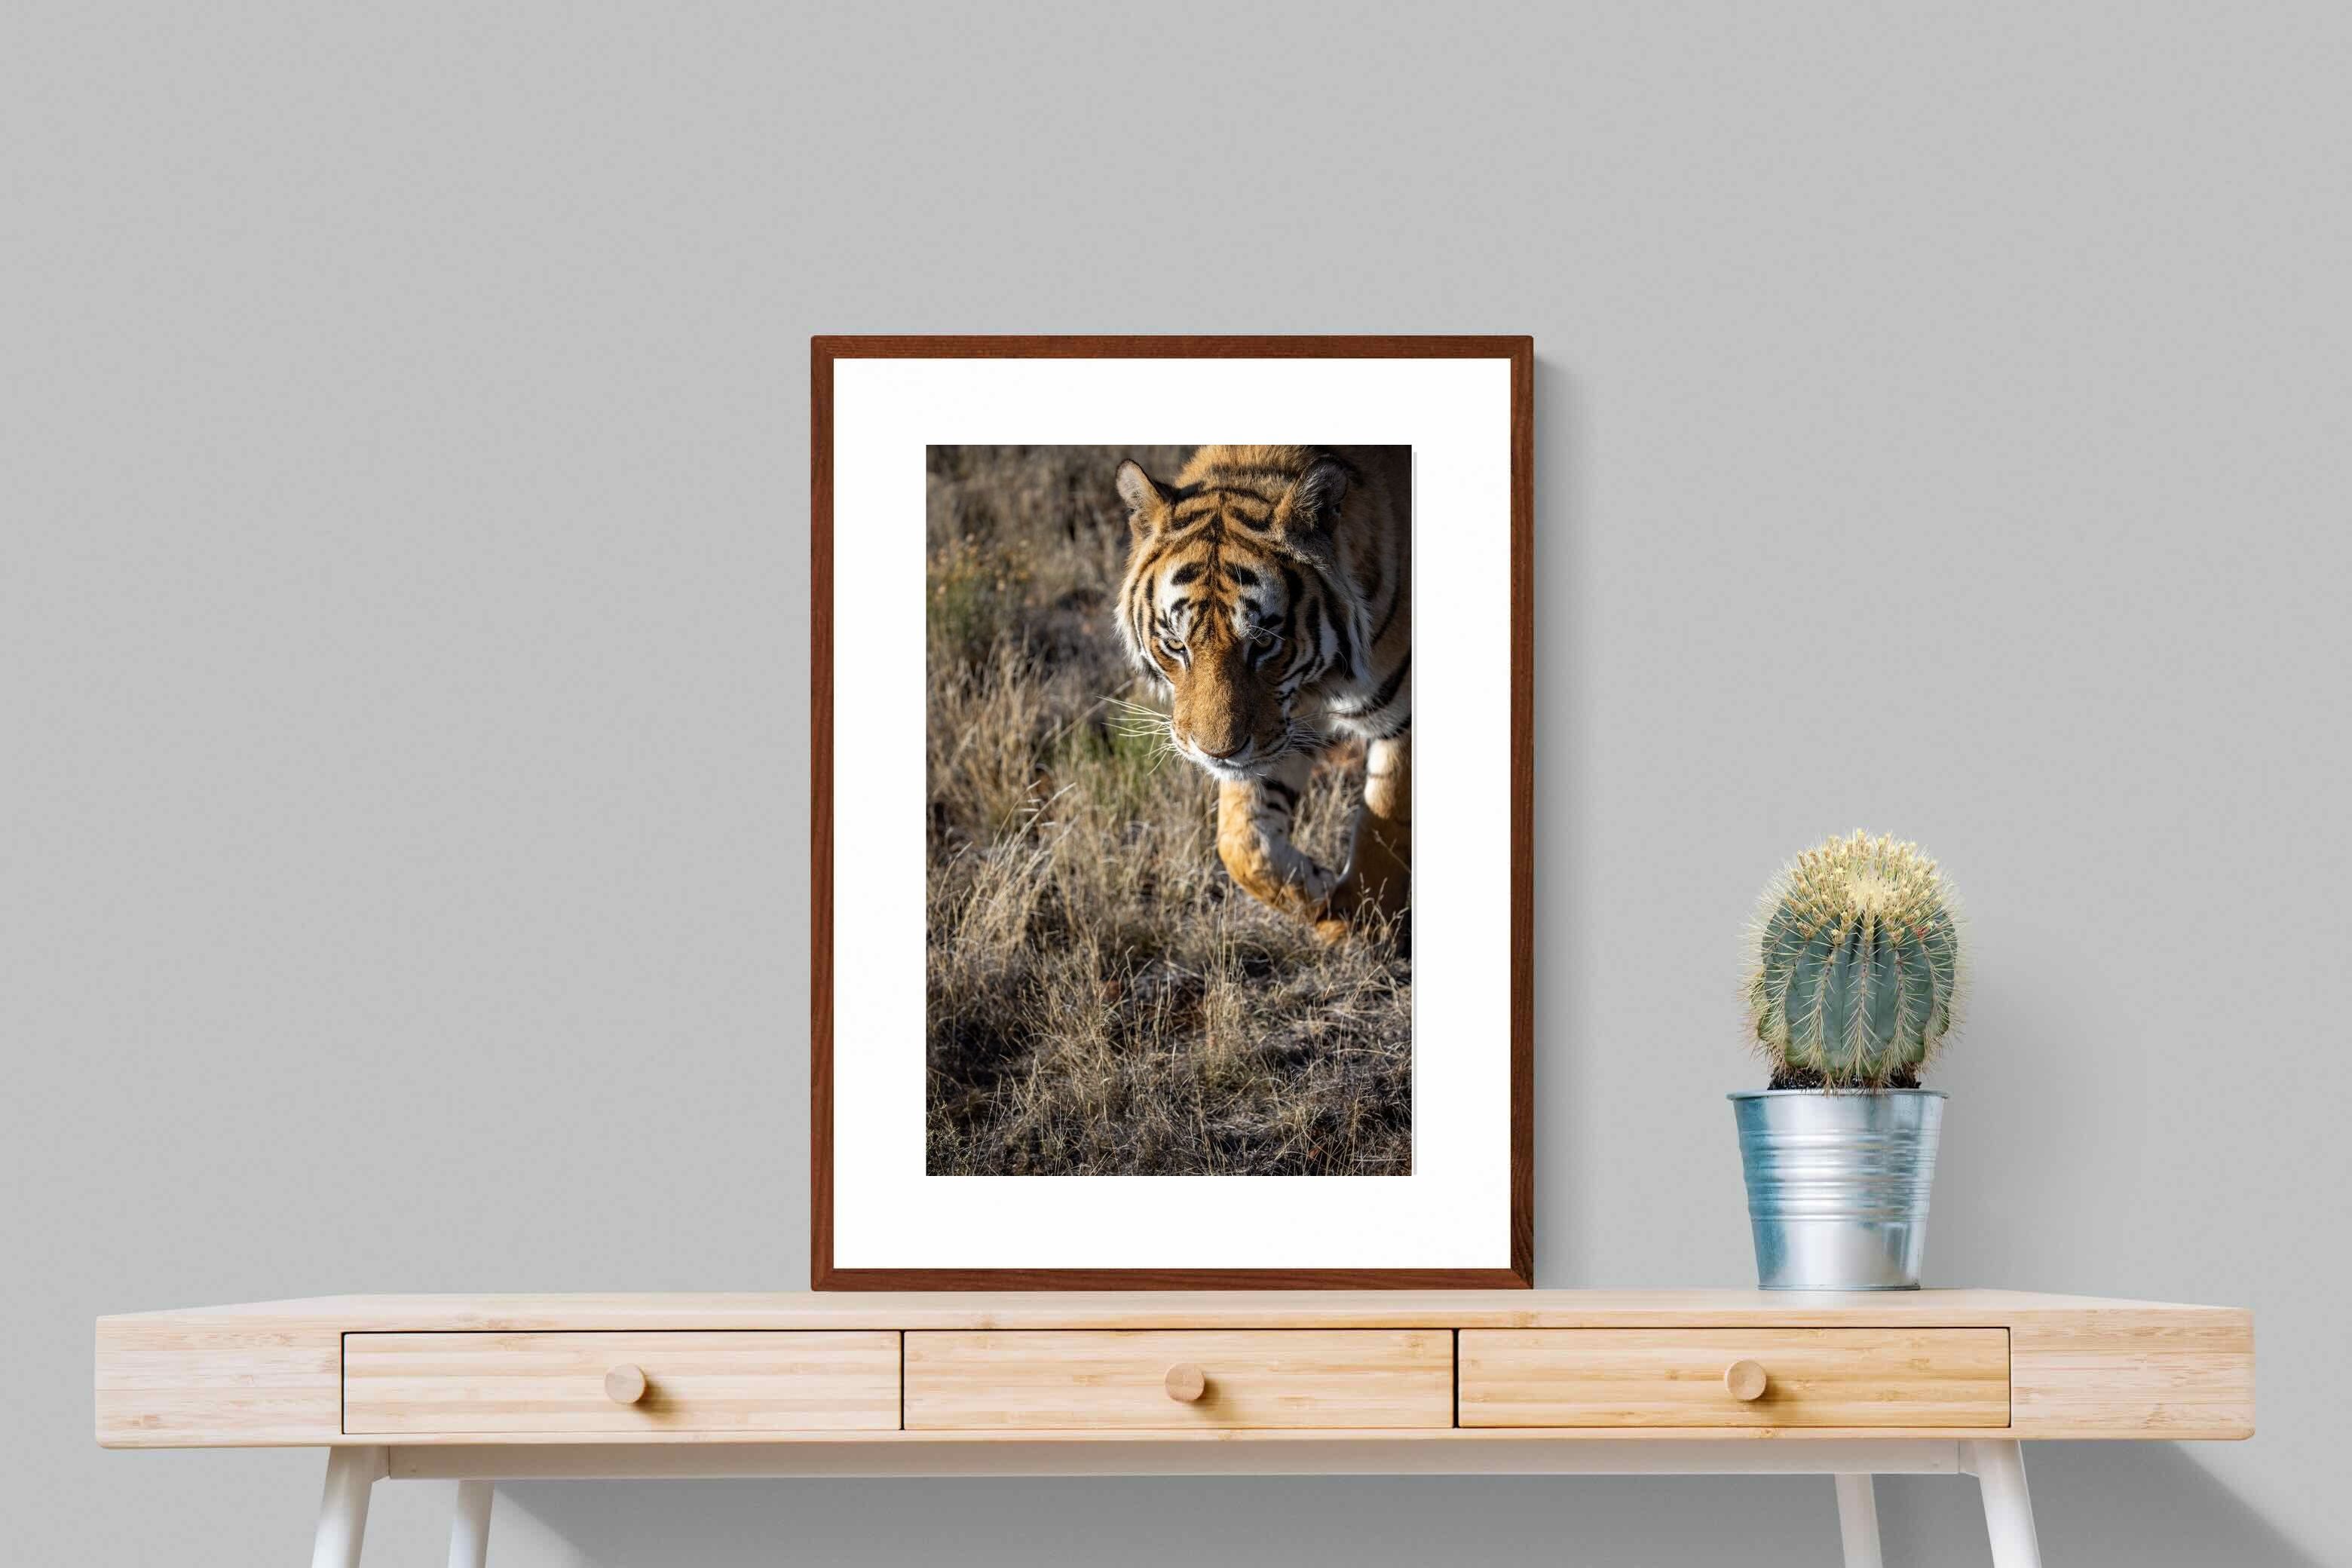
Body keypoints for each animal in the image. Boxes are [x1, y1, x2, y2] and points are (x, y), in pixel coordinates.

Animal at [1113, 444, 1410, 941]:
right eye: (1176, 644)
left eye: (1264, 642)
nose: (1216, 753)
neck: (1318, 684)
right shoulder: (1280, 731)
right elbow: (1241, 843)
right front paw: (1321, 893)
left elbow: (1383, 824)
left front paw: (1363, 923)